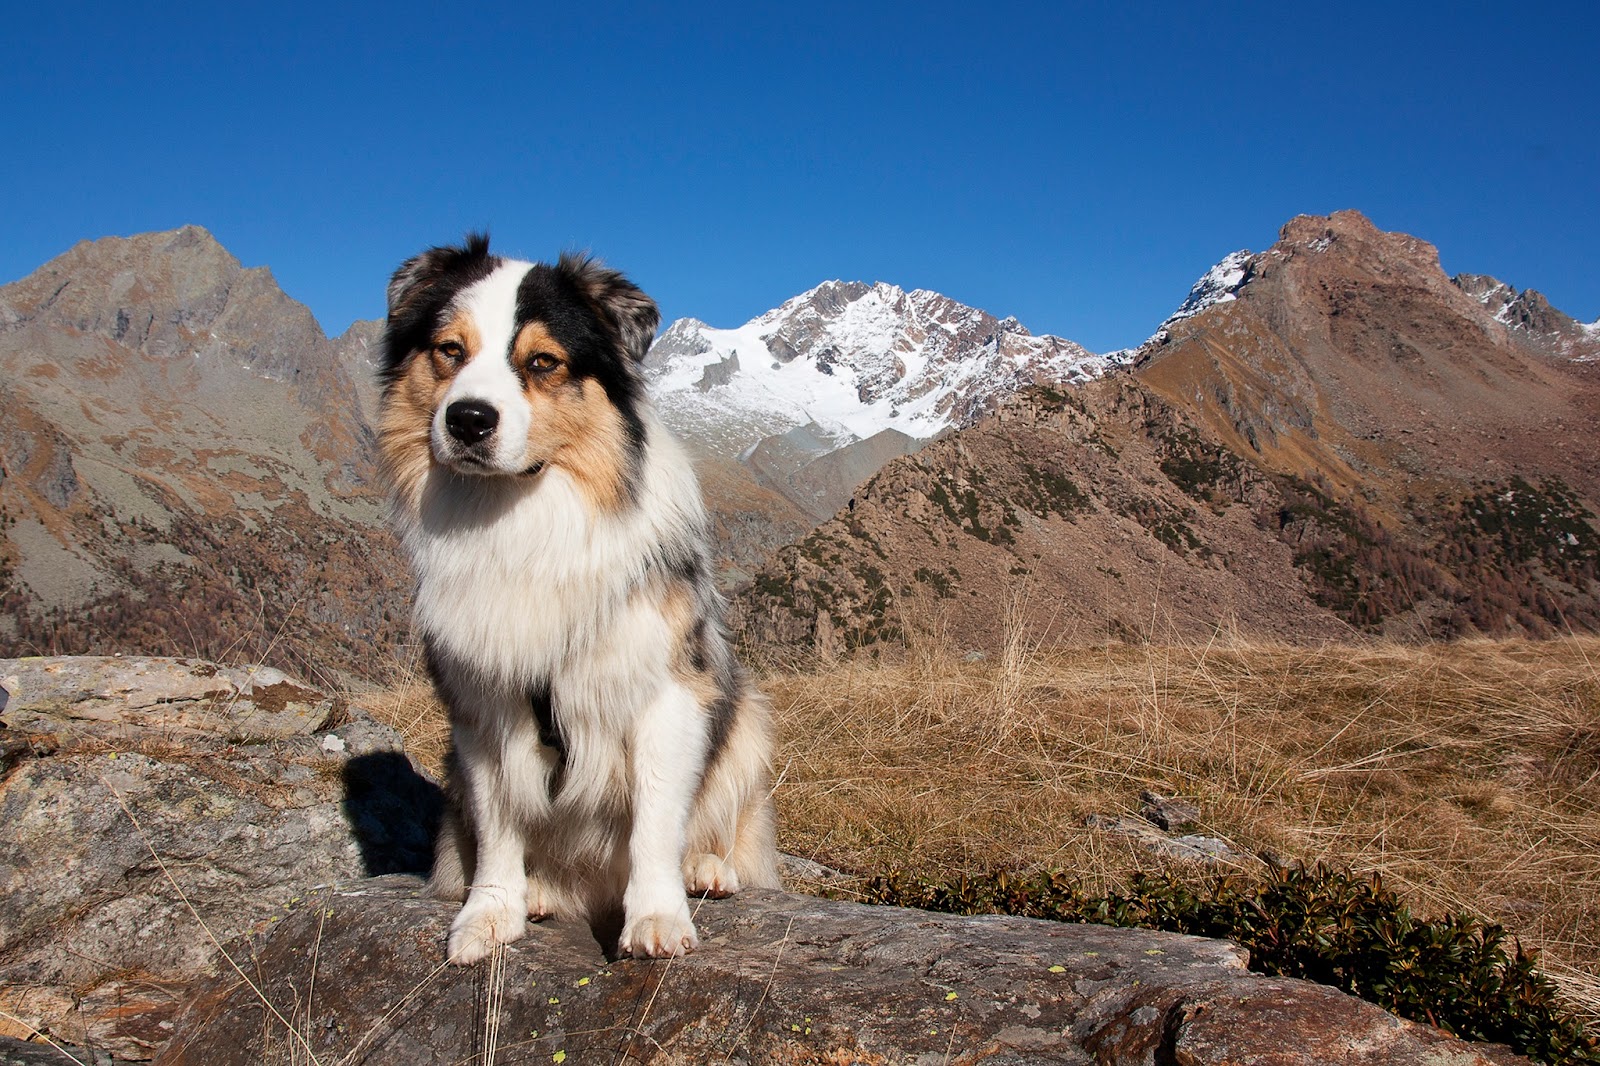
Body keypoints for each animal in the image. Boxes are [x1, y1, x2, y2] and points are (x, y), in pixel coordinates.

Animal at [374, 235, 774, 960]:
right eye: (449, 349)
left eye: (543, 362)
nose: (468, 419)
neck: (525, 518)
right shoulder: (483, 704)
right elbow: (499, 817)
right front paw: (489, 914)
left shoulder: (667, 688)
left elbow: (655, 816)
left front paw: (657, 917)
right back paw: (538, 891)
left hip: (748, 719)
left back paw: (706, 869)